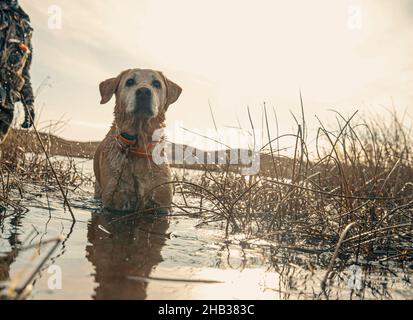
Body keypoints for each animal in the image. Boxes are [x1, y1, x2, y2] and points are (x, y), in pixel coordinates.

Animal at [96, 68, 183, 212]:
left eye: (157, 83)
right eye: (130, 81)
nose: (143, 92)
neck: (139, 147)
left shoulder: (162, 202)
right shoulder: (113, 199)